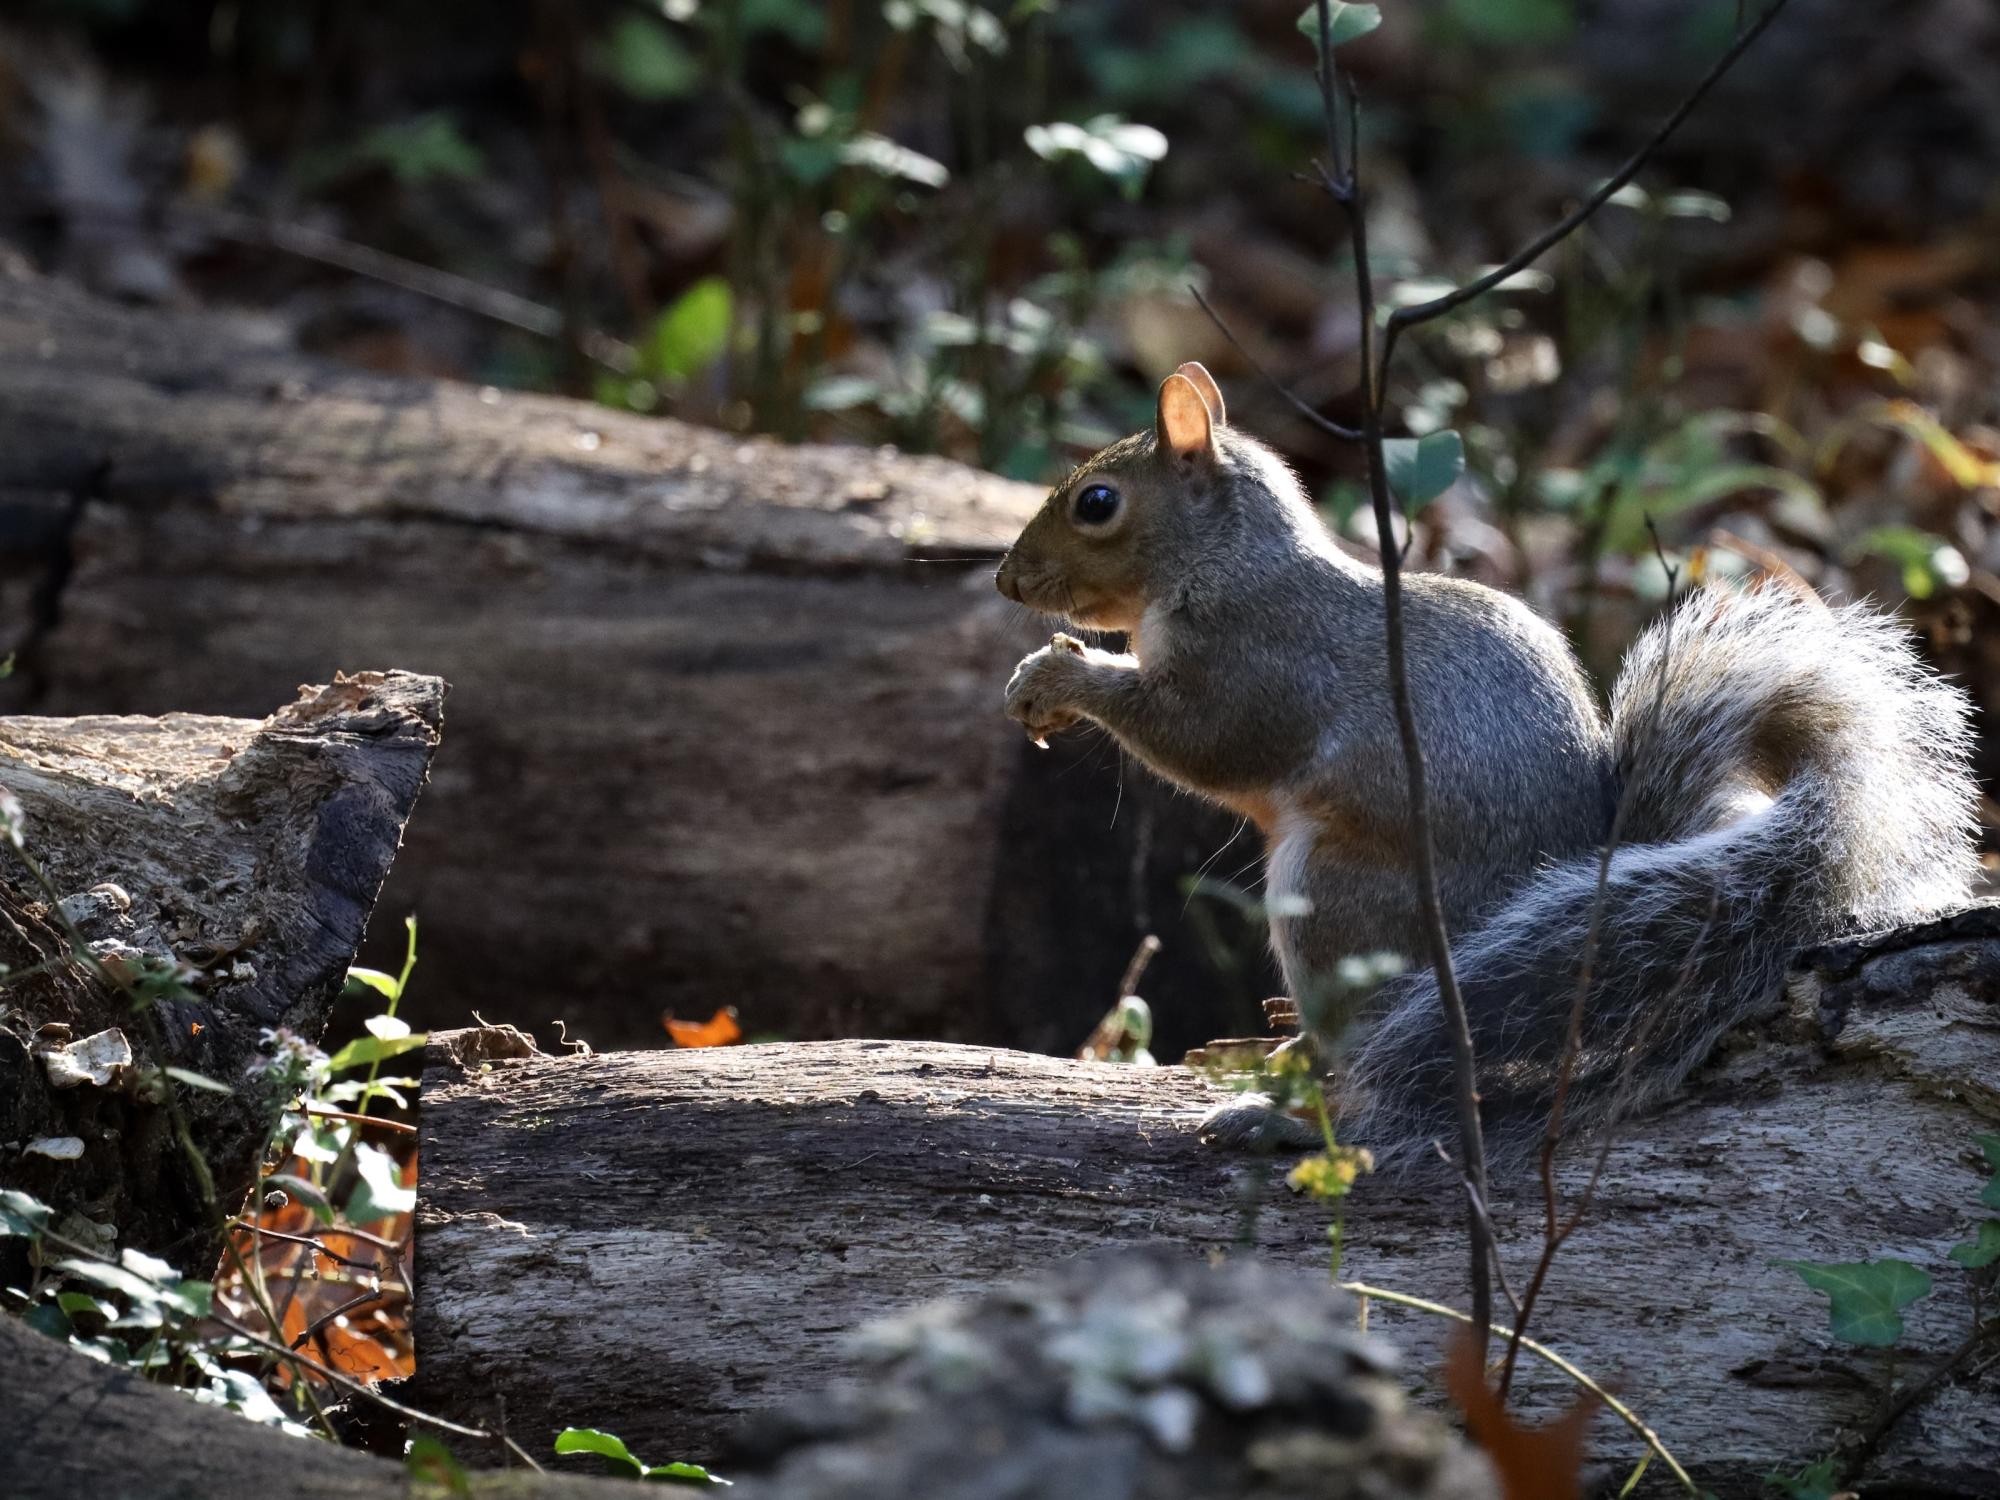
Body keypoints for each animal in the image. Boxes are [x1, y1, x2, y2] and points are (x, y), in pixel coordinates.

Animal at [996, 362, 1981, 1169]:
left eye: (1097, 502)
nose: (1007, 580)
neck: (1226, 563)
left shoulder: (1256, 663)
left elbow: (1198, 736)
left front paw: (1061, 675)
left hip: (1337, 905)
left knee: (1380, 1082)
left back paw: (1281, 1110)